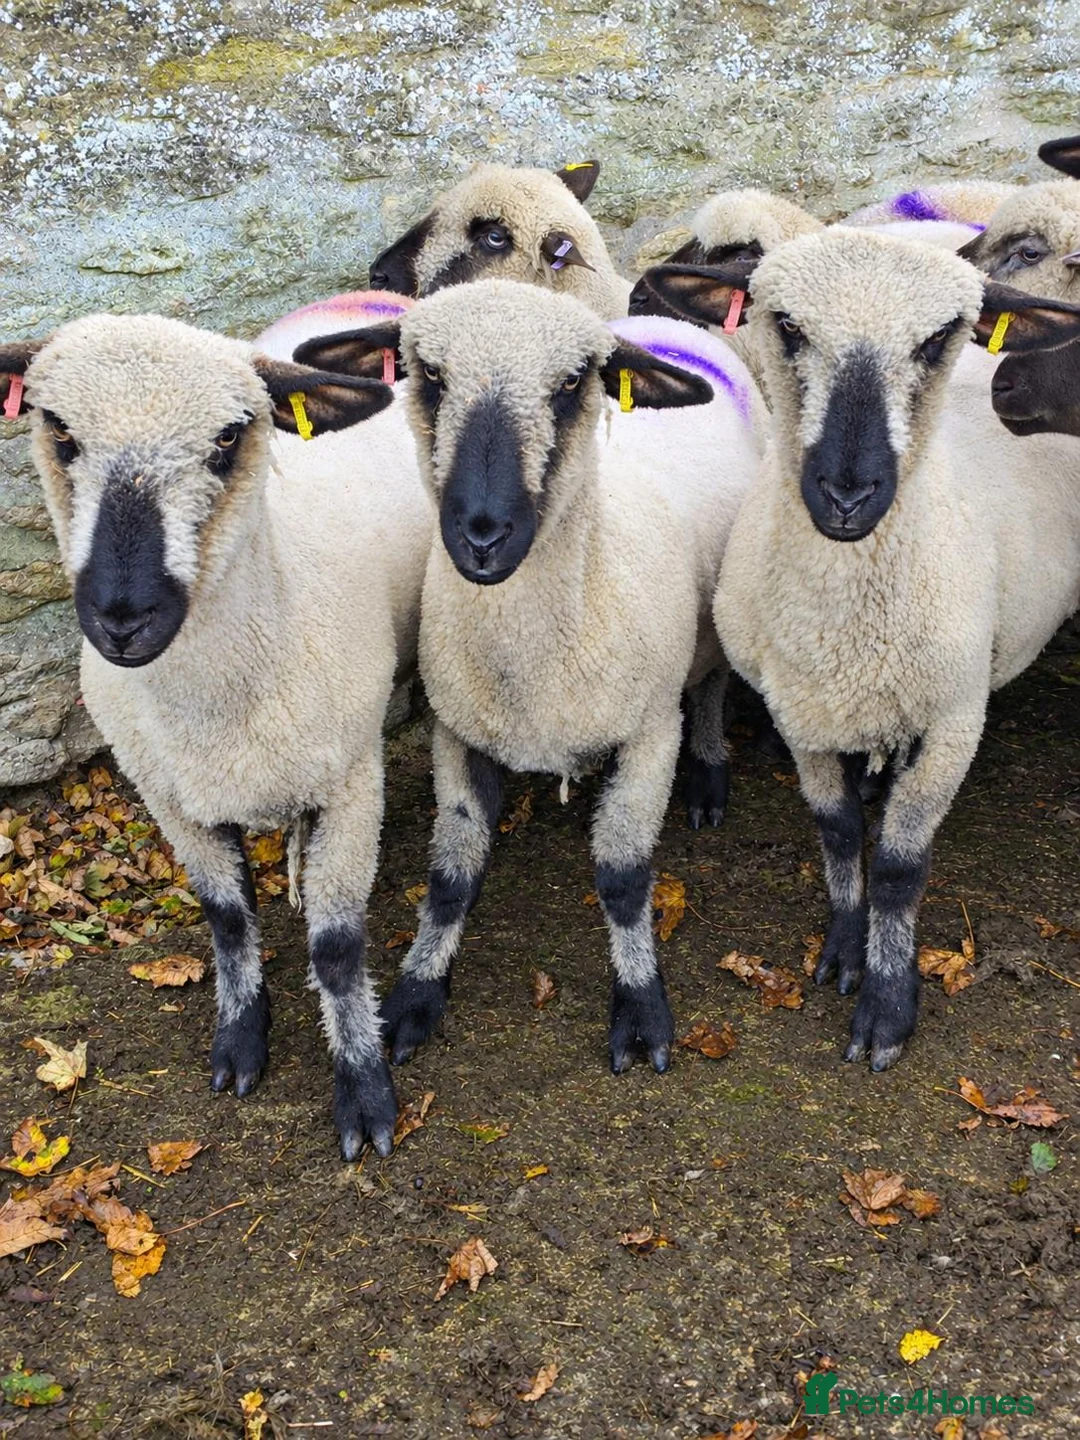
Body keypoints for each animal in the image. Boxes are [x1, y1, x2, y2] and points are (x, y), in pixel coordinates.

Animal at [0, 311, 434, 1158]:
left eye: (231, 436)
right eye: (57, 427)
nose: (123, 616)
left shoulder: (352, 783)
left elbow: (338, 949)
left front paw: (364, 1092)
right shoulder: (172, 798)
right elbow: (228, 919)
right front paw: (240, 1043)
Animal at [293, 280, 764, 1074]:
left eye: (573, 382)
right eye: (430, 373)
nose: (482, 533)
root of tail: (658, 324)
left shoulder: (648, 734)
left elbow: (624, 877)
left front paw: (640, 1008)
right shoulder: (459, 731)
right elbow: (452, 876)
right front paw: (416, 994)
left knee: (708, 686)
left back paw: (708, 776)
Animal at [643, 232, 1080, 1071]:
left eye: (939, 338)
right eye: (786, 325)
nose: (846, 494)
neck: (848, 630)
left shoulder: (955, 716)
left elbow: (904, 867)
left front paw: (886, 1004)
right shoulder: (799, 708)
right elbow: (839, 831)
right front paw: (845, 949)